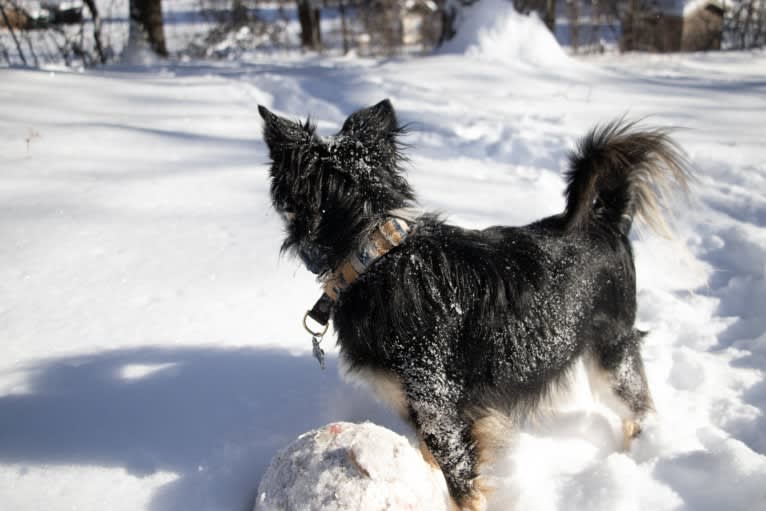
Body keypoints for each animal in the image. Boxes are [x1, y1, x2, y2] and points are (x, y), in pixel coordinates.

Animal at [258, 101, 688, 511]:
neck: (377, 254)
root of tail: (606, 220)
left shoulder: (440, 413)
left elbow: (462, 488)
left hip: (611, 350)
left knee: (639, 409)